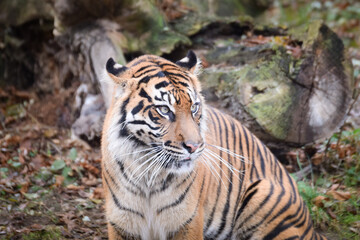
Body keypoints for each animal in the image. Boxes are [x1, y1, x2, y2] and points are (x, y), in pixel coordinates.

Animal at [100, 51, 326, 240]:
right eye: (163, 110)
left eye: (194, 107)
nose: (194, 147)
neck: (147, 175)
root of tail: (312, 230)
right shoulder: (121, 224)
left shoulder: (188, 222)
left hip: (262, 196)